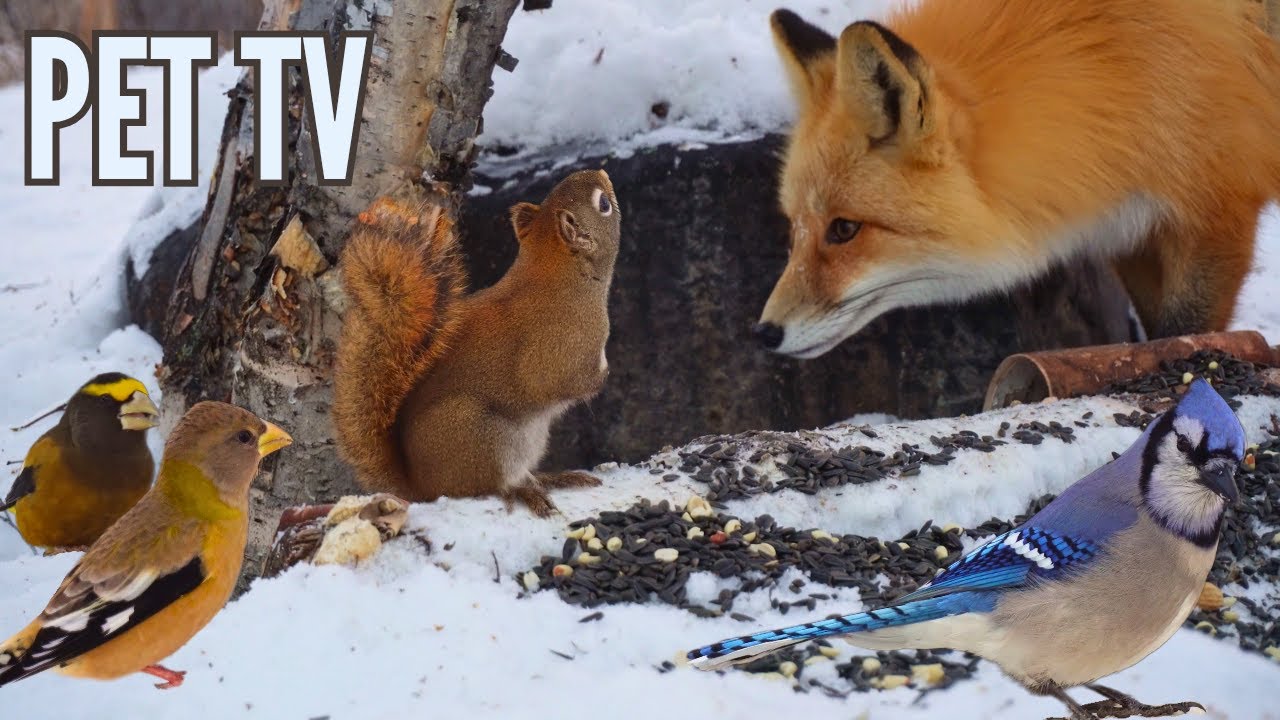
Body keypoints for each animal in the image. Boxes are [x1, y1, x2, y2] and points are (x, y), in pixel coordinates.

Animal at [754, 0, 1280, 358]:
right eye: (794, 229)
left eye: (844, 229)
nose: (763, 333)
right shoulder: (1131, 229)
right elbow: (1157, 334)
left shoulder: (1217, 214)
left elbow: (1184, 331)